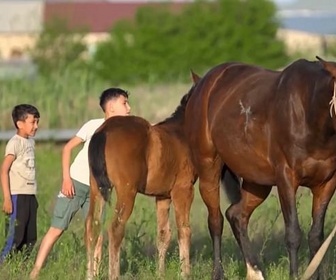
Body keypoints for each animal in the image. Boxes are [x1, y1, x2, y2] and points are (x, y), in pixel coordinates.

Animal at [85, 90, 198, 280]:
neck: (182, 133)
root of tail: (104, 131)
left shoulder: (163, 196)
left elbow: (163, 234)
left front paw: (160, 274)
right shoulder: (183, 190)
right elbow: (184, 230)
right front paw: (185, 273)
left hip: (97, 189)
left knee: (93, 226)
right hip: (127, 192)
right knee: (115, 229)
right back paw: (114, 274)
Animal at [185, 57, 336, 280]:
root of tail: (203, 83)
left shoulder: (326, 183)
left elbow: (316, 236)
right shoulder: (286, 178)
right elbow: (293, 233)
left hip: (257, 182)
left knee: (237, 215)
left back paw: (255, 270)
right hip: (208, 168)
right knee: (216, 221)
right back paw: (219, 273)